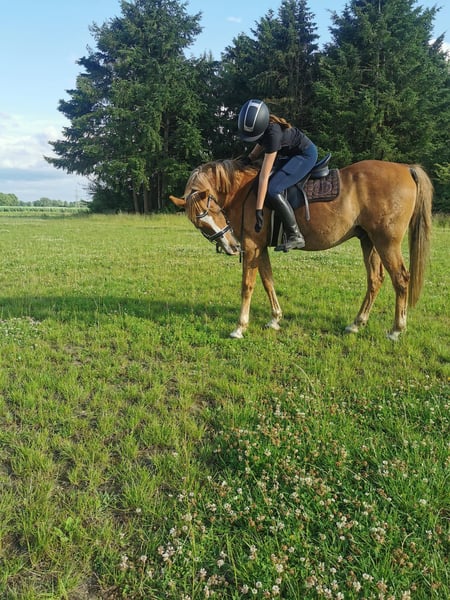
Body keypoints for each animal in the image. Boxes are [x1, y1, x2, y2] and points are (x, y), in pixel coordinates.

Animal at [169, 157, 432, 340]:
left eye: (213, 209)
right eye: (200, 224)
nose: (231, 247)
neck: (245, 192)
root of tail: (405, 168)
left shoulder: (252, 247)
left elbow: (248, 286)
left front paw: (240, 327)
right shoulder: (260, 248)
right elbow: (268, 281)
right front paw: (275, 319)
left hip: (386, 242)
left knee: (401, 279)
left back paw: (396, 330)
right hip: (369, 241)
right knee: (375, 280)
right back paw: (357, 323)